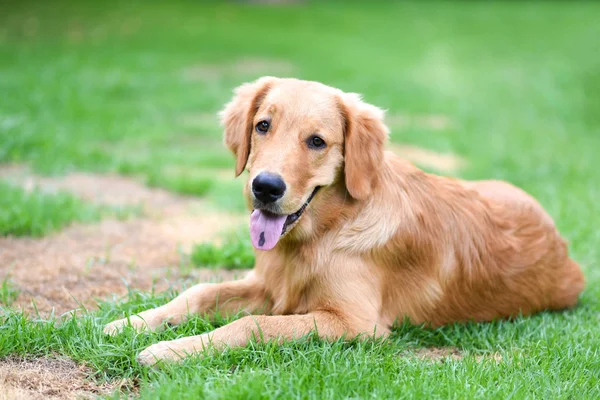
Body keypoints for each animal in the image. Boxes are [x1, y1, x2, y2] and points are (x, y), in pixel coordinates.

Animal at [104, 76, 584, 364]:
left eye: (317, 141)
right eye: (262, 126)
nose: (265, 187)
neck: (321, 235)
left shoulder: (356, 323)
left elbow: (253, 324)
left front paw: (169, 350)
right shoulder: (271, 285)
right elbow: (201, 290)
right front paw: (133, 323)